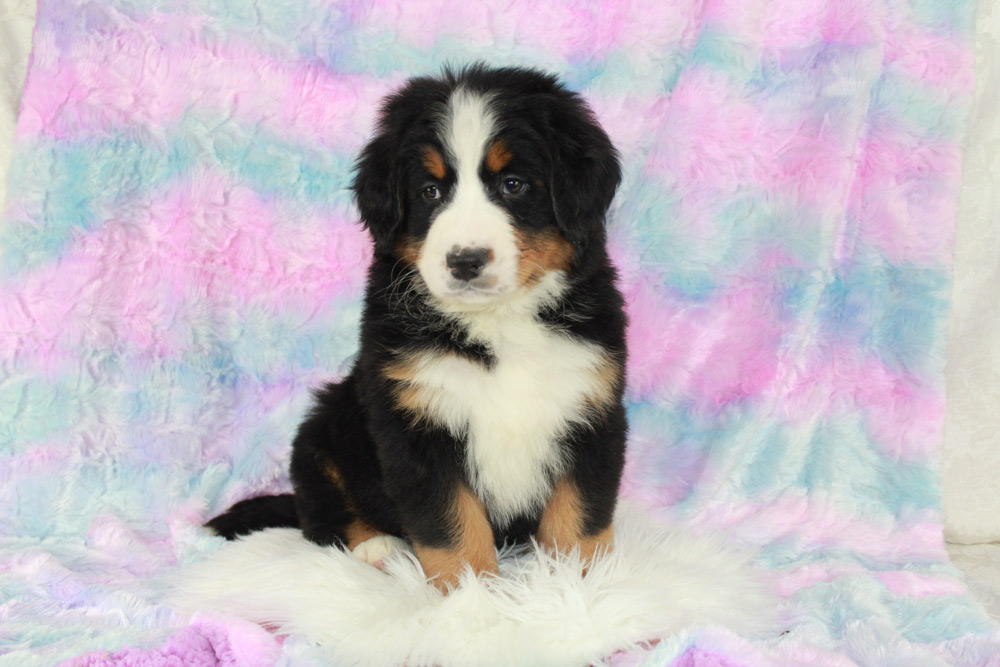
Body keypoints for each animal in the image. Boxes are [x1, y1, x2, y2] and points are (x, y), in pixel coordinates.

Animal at [208, 64, 628, 596]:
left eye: (513, 184)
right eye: (430, 191)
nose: (465, 260)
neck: (498, 323)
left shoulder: (591, 409)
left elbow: (579, 516)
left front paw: (580, 589)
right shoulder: (414, 424)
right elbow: (453, 525)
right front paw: (474, 599)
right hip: (323, 428)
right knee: (319, 514)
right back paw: (377, 547)